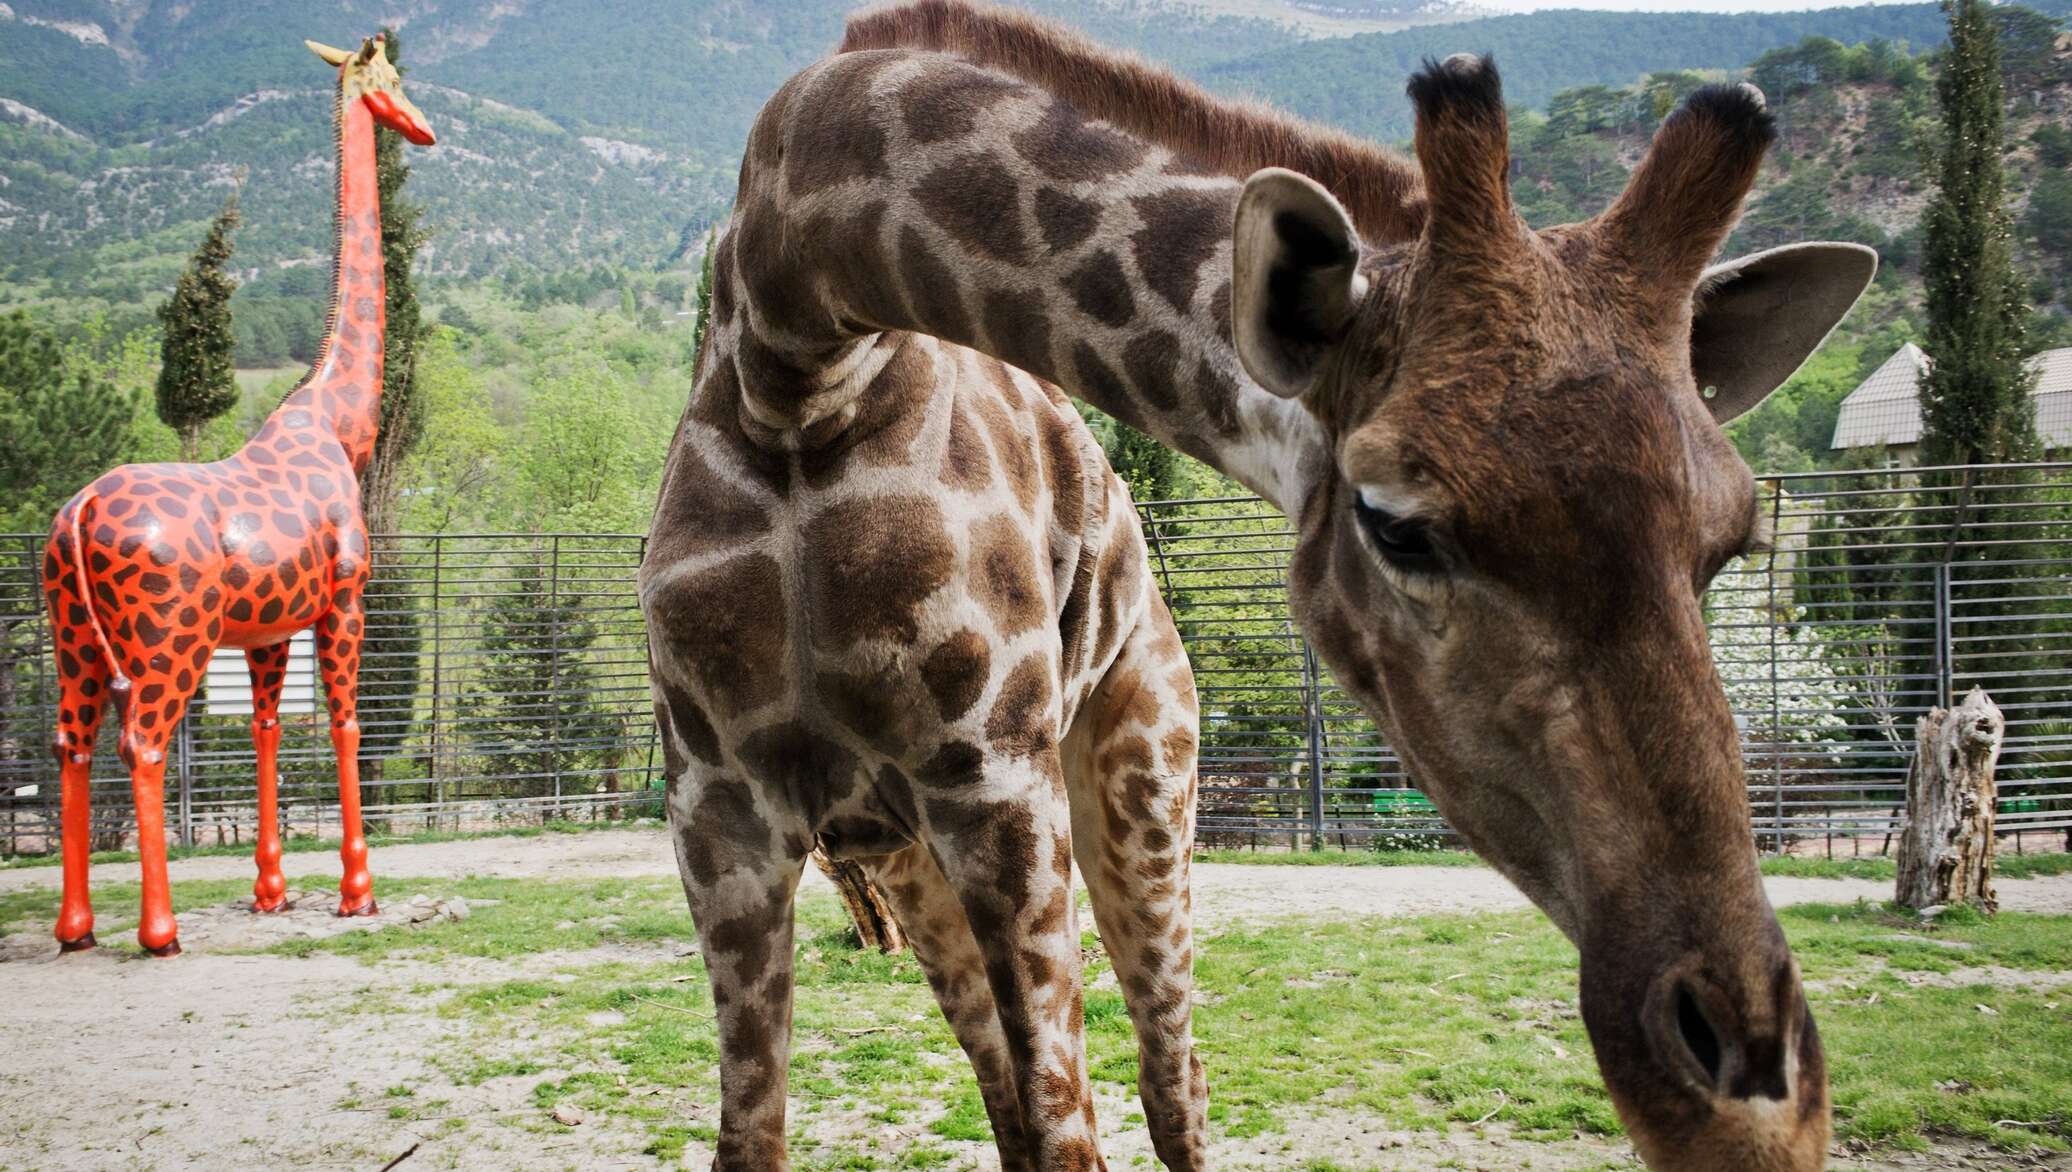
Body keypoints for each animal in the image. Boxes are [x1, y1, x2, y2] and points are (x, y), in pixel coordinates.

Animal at [39, 36, 433, 960]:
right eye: (390, 82)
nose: (424, 129)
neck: (340, 422)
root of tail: (74, 517)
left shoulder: (267, 631)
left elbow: (266, 730)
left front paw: (272, 894)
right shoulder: (346, 599)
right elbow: (345, 724)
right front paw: (357, 892)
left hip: (74, 640)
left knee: (71, 745)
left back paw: (77, 928)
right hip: (167, 640)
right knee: (142, 745)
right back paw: (158, 932)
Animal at [646, 4, 1881, 1167]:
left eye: (1729, 542)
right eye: (1398, 526)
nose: (1753, 1115)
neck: (798, 354)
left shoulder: (991, 778)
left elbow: (1072, 1127)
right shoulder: (720, 815)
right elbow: (759, 1138)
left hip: (1138, 780)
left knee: (1168, 1080)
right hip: (911, 854)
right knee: (1018, 1088)